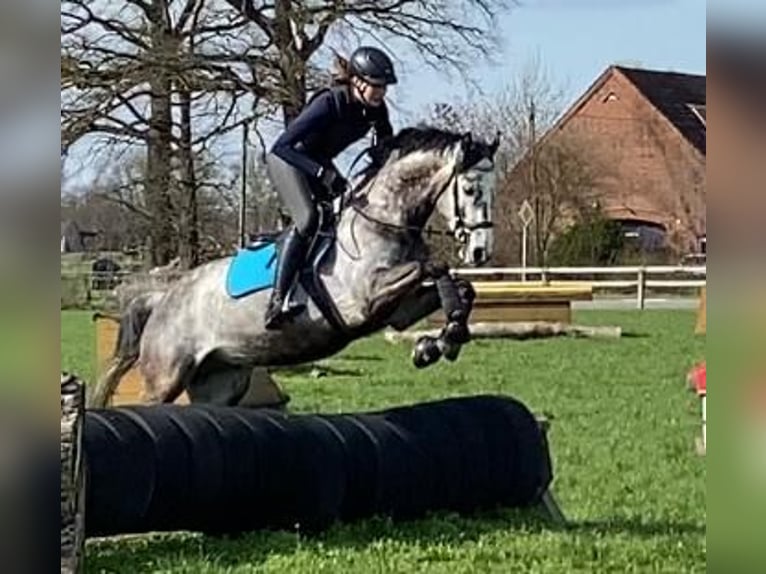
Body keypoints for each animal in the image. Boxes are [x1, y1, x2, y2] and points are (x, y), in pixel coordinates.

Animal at [88, 125, 500, 409]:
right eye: (470, 189)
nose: (481, 251)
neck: (383, 219)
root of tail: (162, 297)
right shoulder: (365, 300)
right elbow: (436, 265)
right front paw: (439, 342)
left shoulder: (397, 311)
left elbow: (462, 287)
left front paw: (441, 342)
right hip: (166, 376)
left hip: (219, 380)